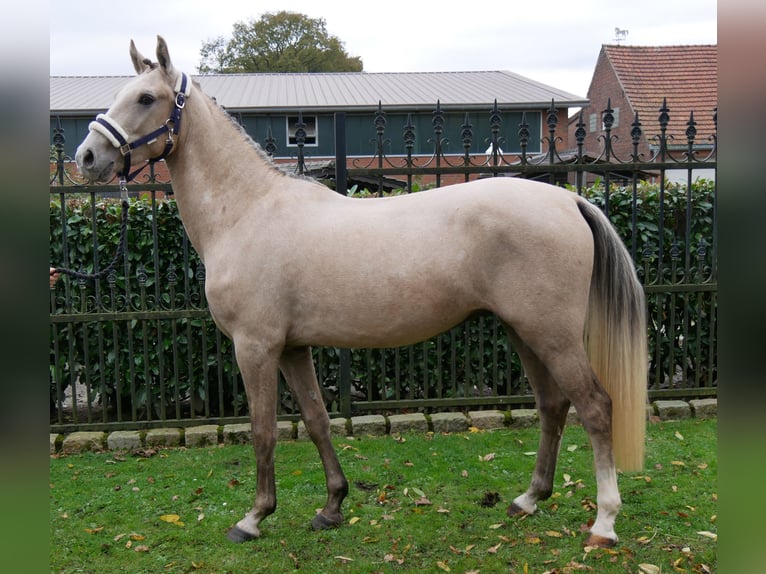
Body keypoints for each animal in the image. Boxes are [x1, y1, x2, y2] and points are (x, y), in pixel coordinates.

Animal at [76, 38, 648, 552]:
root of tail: (568, 199)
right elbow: (316, 421)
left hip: (553, 335)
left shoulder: (255, 347)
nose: (87, 156)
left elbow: (263, 430)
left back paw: (603, 524)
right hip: (525, 331)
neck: (246, 210)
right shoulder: (292, 348)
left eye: (146, 98)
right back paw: (528, 500)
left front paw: (254, 518)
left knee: (595, 407)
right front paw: (331, 506)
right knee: (553, 406)